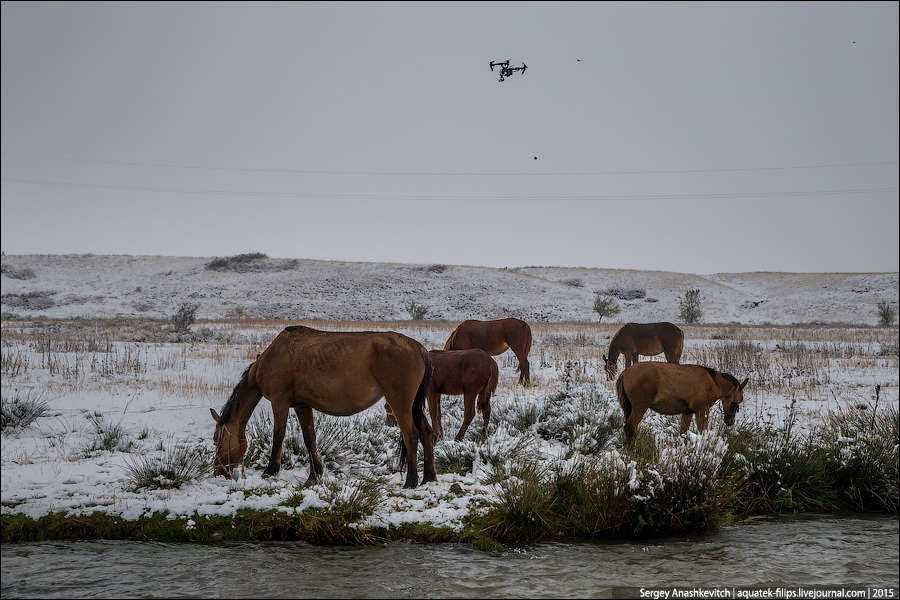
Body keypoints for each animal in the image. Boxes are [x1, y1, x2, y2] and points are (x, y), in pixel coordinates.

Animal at [211, 326, 436, 490]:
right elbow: (309, 438)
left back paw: (411, 481)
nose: (218, 473)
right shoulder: (302, 405)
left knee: (411, 435)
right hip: (413, 405)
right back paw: (429, 477)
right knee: (426, 432)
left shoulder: (280, 400)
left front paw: (270, 471)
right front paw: (314, 475)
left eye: (217, 441)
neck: (274, 355)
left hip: (400, 402)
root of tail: (420, 350)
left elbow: (278, 435)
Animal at [616, 358, 748, 442]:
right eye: (739, 400)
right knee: (630, 428)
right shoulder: (702, 410)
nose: (730, 421)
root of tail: (625, 373)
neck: (713, 382)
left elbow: (683, 432)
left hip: (629, 407)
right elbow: (702, 431)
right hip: (640, 407)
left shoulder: (687, 412)